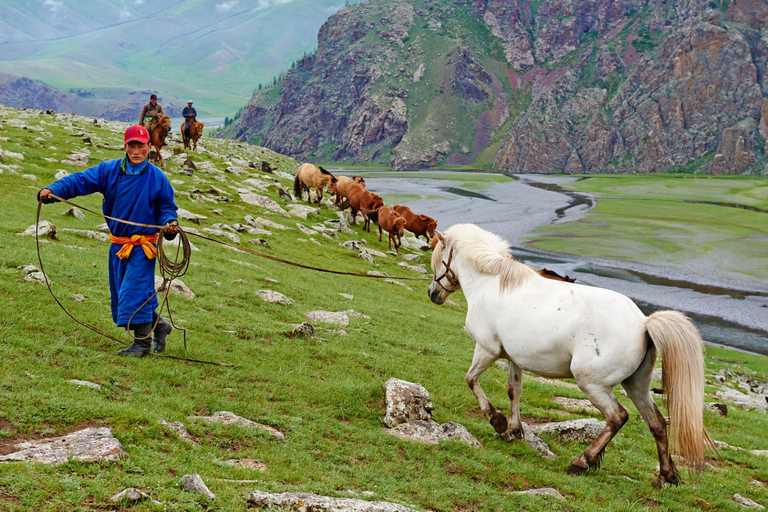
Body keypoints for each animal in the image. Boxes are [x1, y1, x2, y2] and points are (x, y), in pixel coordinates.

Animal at [428, 223, 715, 486]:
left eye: (439, 256)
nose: (433, 294)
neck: (492, 284)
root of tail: (644, 322)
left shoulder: (487, 350)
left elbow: (471, 380)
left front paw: (497, 421)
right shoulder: (514, 359)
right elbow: (513, 391)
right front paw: (513, 430)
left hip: (592, 384)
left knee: (617, 417)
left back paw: (582, 462)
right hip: (637, 385)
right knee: (657, 423)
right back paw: (665, 476)